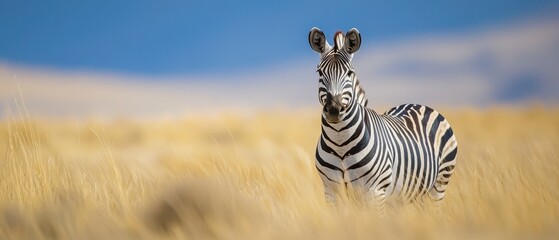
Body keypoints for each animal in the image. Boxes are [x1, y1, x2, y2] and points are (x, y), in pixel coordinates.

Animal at [310, 27, 460, 209]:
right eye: (320, 72)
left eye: (349, 73)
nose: (333, 109)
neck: (340, 143)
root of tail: (420, 105)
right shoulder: (331, 191)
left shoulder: (374, 192)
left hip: (439, 185)